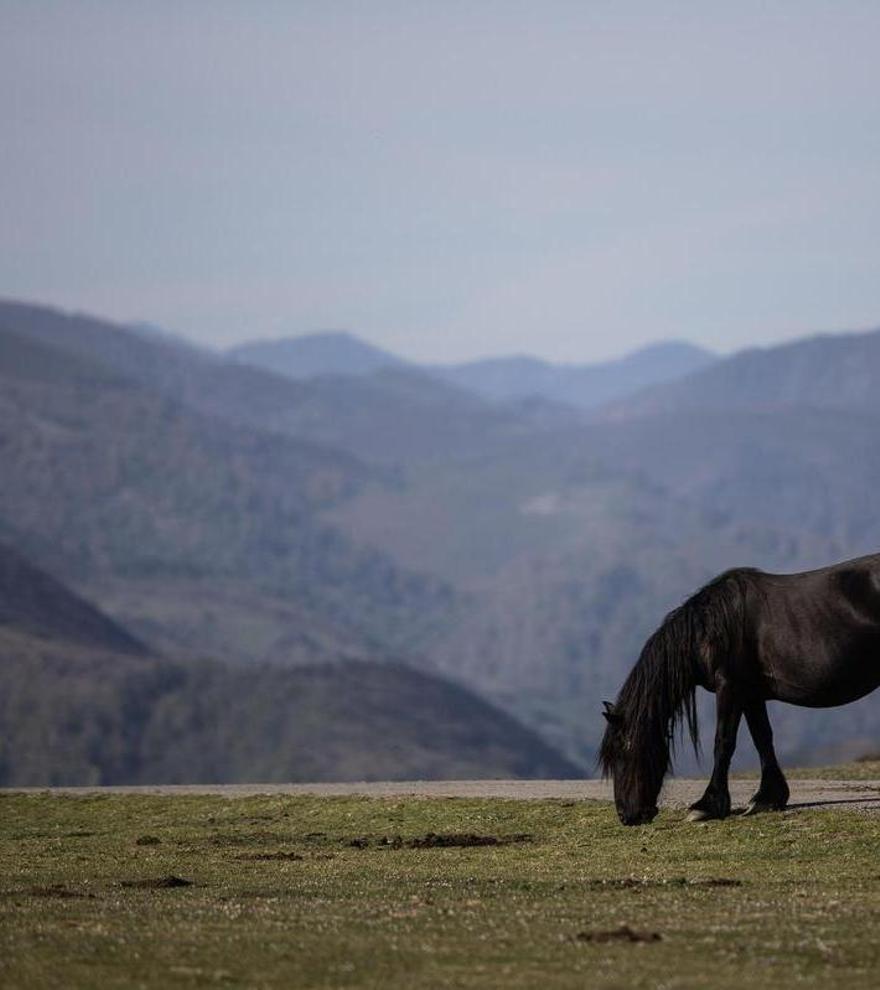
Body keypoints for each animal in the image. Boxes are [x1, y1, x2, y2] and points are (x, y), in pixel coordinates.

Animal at [600, 556, 880, 824]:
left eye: (623, 753)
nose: (627, 816)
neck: (710, 628)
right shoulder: (751, 694)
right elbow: (762, 738)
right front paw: (768, 798)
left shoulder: (730, 688)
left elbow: (723, 742)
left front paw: (708, 805)